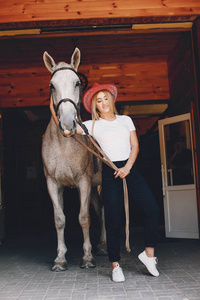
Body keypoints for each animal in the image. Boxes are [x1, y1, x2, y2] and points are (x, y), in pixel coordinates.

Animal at [41, 48, 105, 270]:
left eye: (77, 83)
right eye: (52, 85)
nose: (68, 123)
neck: (64, 144)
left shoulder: (83, 183)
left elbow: (84, 218)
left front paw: (87, 257)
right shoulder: (53, 184)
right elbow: (59, 219)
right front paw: (60, 258)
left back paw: (102, 247)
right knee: (100, 211)